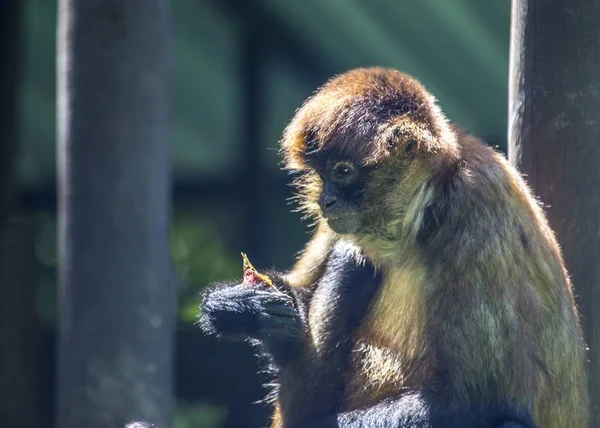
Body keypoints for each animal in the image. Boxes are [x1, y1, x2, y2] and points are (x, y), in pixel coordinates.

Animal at [203, 67, 592, 428]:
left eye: (343, 171)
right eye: (322, 173)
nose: (326, 200)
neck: (419, 220)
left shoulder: (476, 201)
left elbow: (469, 399)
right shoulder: (345, 225)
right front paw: (241, 307)